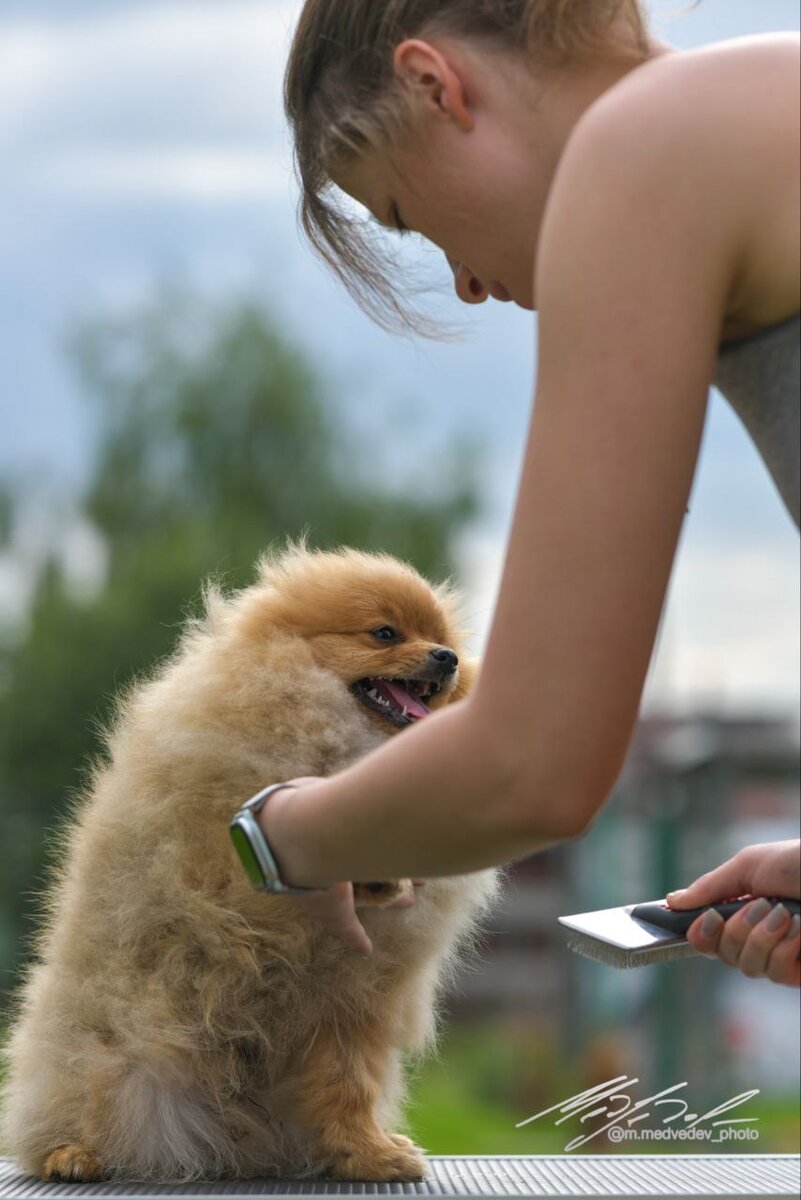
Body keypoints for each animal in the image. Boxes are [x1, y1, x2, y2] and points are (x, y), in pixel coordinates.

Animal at [0, 549, 501, 1185]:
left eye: (441, 639)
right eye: (386, 633)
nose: (447, 658)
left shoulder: (353, 1002)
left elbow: (348, 1083)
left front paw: (367, 1152)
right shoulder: (216, 866)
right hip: (102, 1058)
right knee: (65, 1110)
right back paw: (74, 1153)